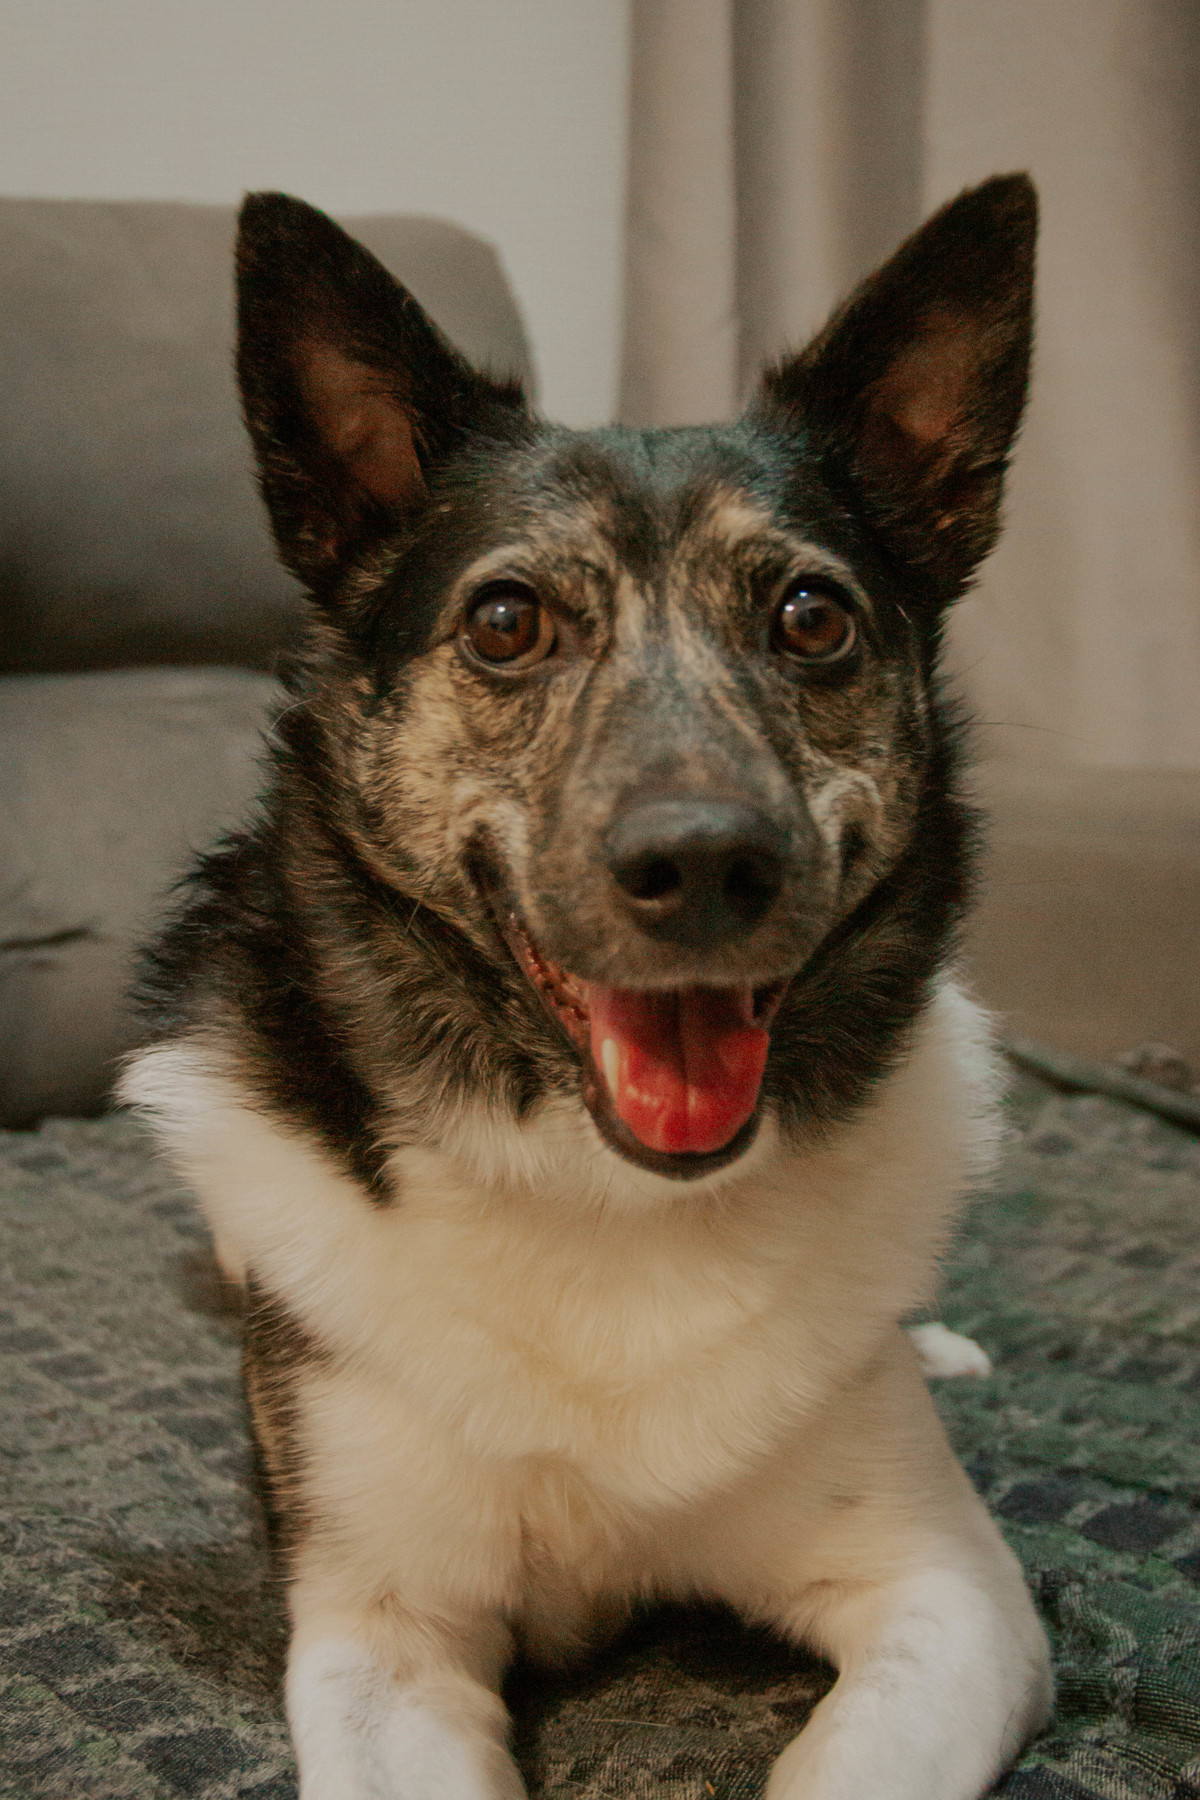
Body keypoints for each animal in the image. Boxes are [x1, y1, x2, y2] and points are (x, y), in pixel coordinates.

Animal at [121, 173, 1052, 1799]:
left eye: (813, 617)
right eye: (507, 624)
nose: (707, 865)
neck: (612, 1198)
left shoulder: (951, 1593)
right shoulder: (380, 1627)